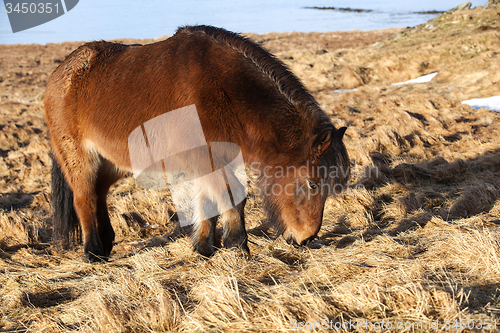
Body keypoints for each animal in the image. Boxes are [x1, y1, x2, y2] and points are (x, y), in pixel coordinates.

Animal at [45, 24, 350, 260]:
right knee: (84, 197)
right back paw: (93, 252)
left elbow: (208, 201)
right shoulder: (208, 157)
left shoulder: (213, 159)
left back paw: (107, 243)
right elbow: (231, 197)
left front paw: (205, 247)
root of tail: (62, 72)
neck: (225, 90)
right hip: (80, 158)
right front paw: (238, 246)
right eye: (312, 183)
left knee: (99, 193)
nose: (305, 238)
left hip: (112, 161)